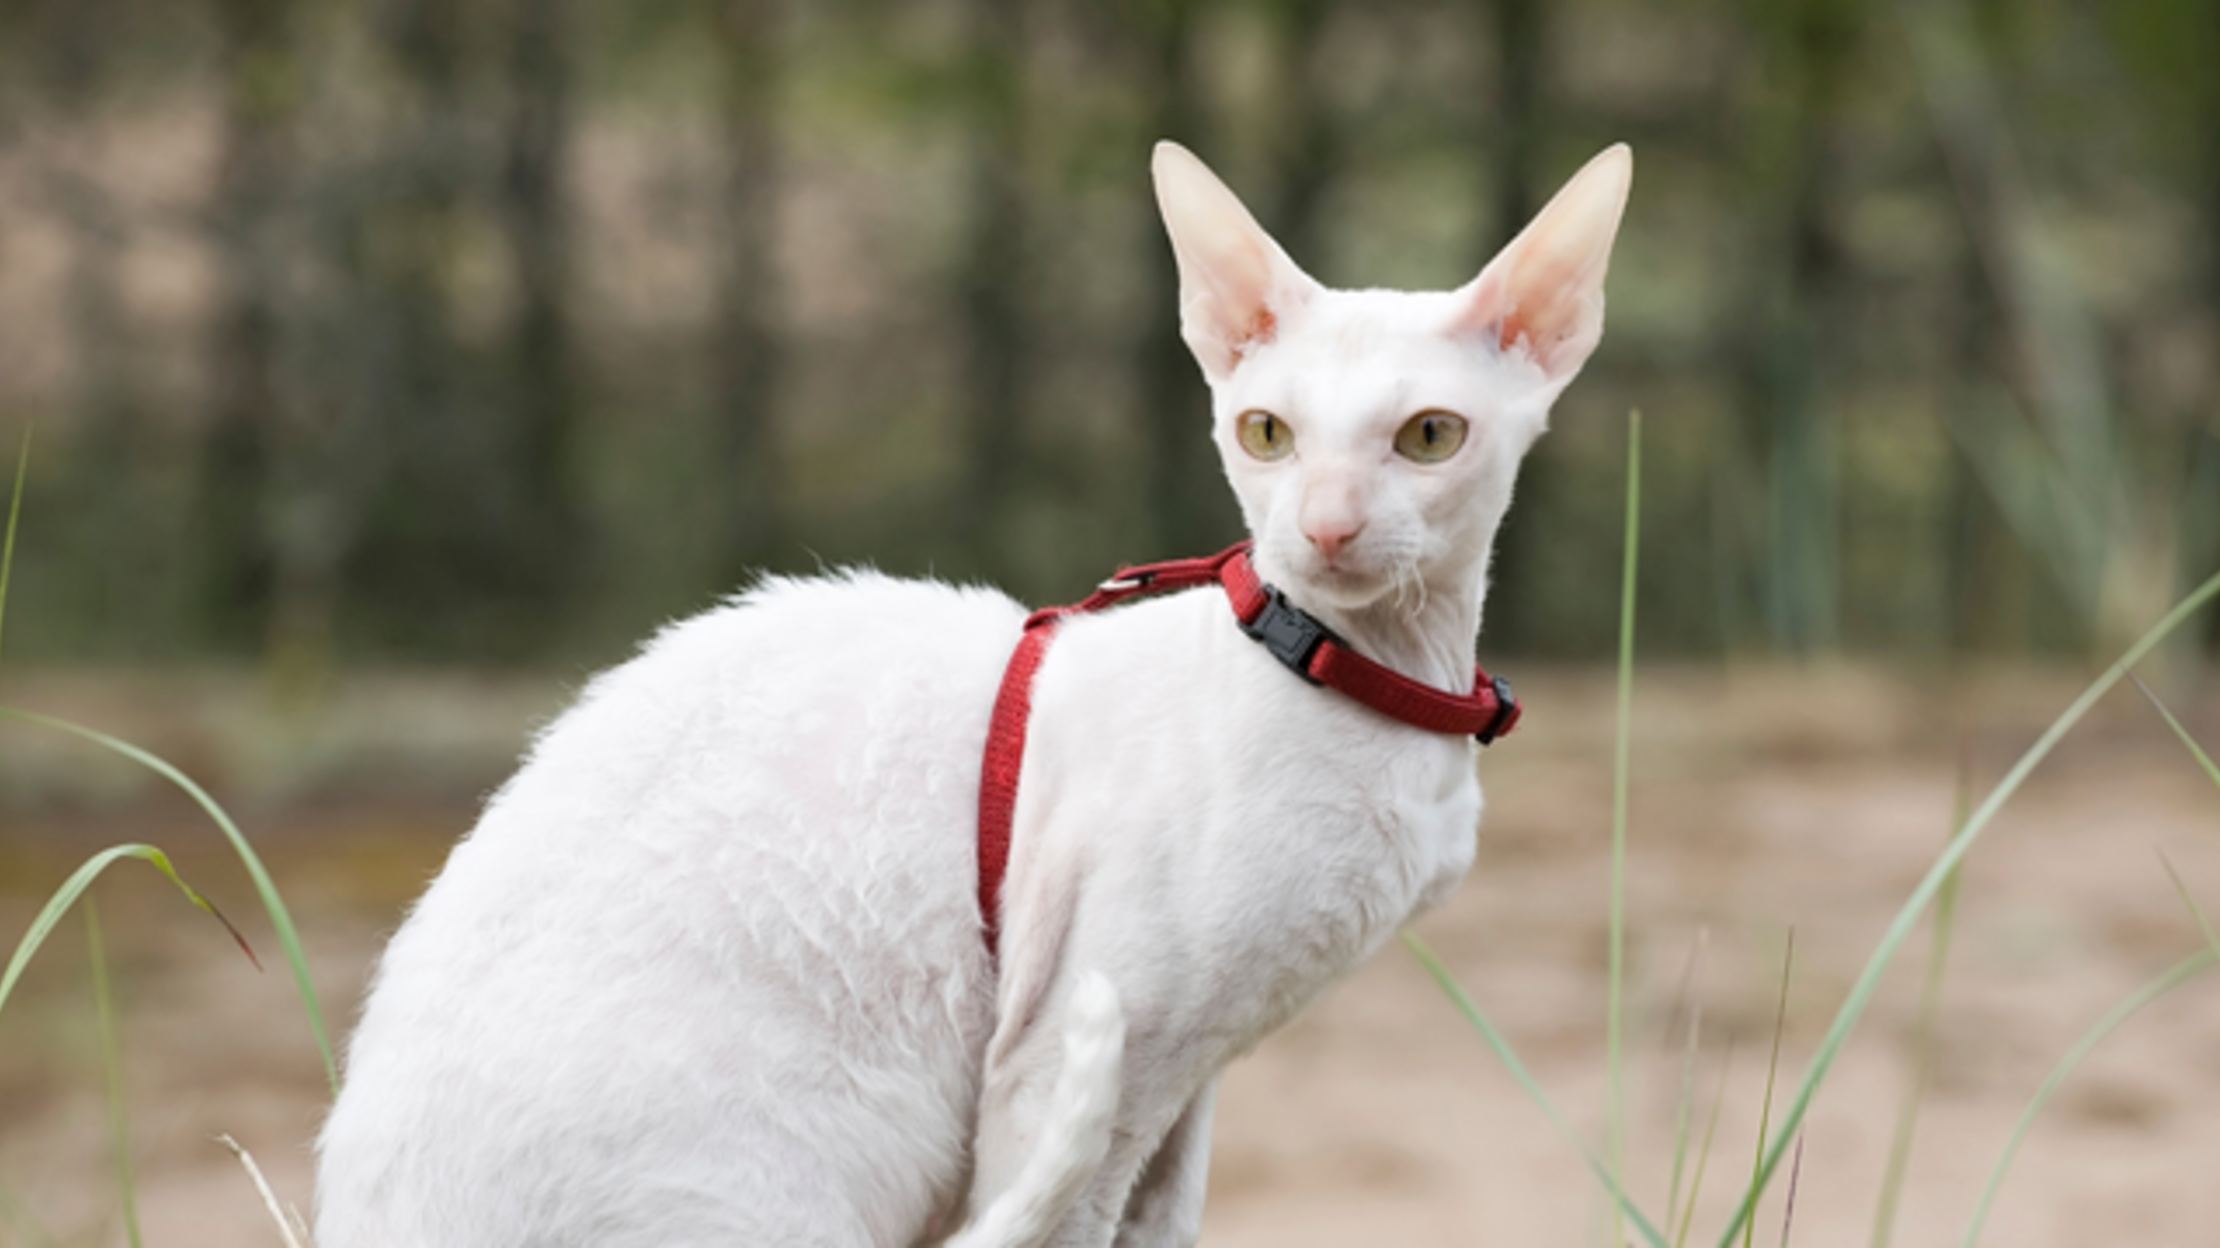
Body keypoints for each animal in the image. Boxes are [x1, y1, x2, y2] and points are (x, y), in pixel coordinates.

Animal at [317, 138, 1633, 1243]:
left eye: (1428, 437)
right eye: (1266, 433)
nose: (1324, 529)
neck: (1373, 678)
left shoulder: (1191, 1077)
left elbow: (1163, 1227)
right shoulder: (1078, 1053)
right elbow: (1070, 1218)